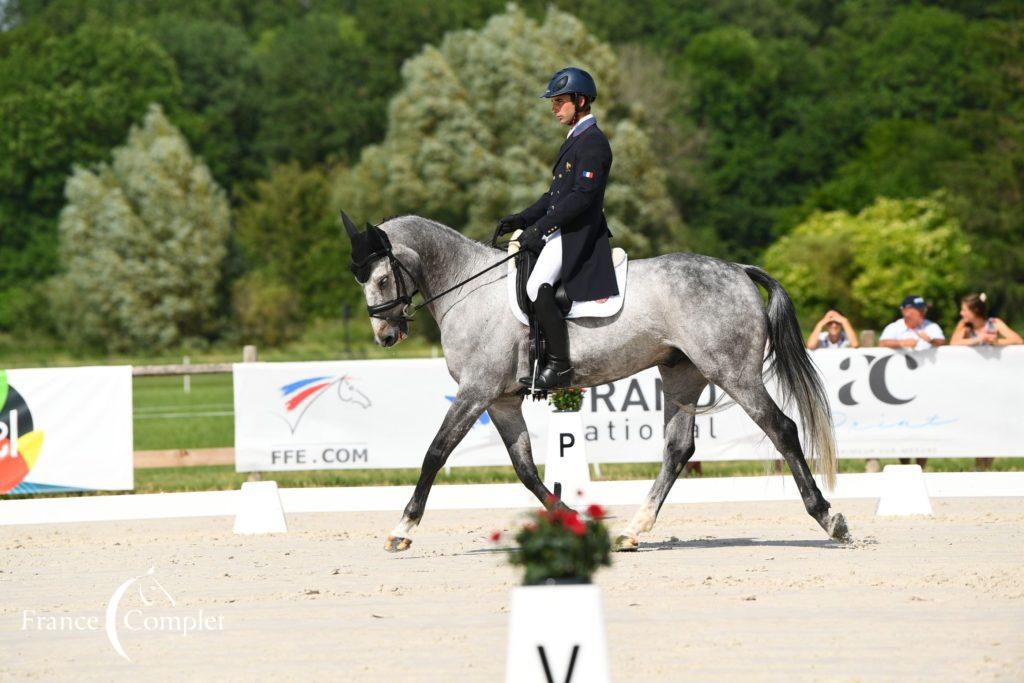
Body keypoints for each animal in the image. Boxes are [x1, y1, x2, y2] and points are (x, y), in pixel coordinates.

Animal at [339, 214, 851, 548]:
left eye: (381, 279)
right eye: (360, 279)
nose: (386, 336)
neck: (469, 289)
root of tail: (739, 270)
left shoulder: (476, 391)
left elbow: (435, 453)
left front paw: (402, 529)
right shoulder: (501, 399)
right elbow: (525, 469)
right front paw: (575, 520)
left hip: (733, 372)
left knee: (782, 429)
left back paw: (831, 520)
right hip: (682, 374)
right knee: (678, 449)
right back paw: (633, 531)